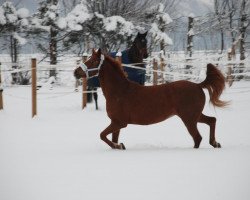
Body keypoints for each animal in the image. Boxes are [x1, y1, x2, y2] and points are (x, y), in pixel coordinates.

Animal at [73, 48, 228, 150]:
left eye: (93, 61)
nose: (76, 72)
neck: (119, 92)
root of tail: (198, 85)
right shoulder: (115, 123)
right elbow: (110, 138)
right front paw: (119, 145)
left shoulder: (119, 123)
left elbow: (102, 135)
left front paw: (120, 145)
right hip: (194, 116)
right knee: (212, 120)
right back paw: (215, 143)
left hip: (189, 118)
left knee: (198, 137)